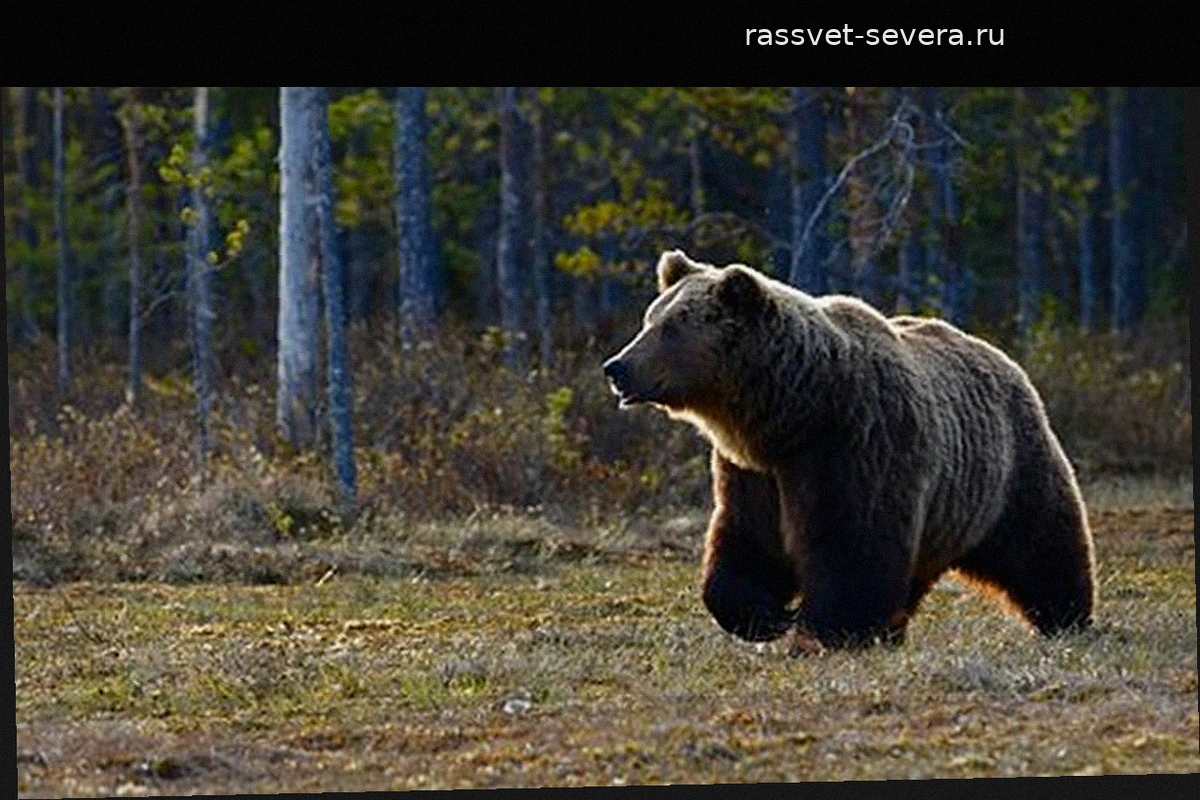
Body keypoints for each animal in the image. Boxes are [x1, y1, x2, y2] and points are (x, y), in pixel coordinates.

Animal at [603, 249, 1096, 650]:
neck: (791, 414)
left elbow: (853, 544)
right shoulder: (754, 472)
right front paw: (766, 616)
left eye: (671, 327)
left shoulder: (855, 445)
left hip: (1008, 468)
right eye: (650, 319)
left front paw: (824, 631)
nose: (616, 367)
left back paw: (1067, 616)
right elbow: (747, 541)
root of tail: (1002, 356)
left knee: (1041, 541)